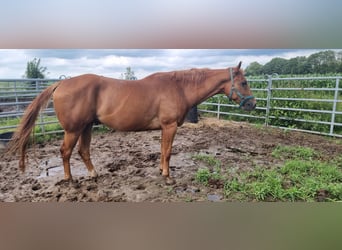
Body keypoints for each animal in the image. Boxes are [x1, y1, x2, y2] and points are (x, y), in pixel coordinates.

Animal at [6, 62, 255, 184]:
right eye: (243, 82)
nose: (252, 104)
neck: (179, 87)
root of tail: (61, 84)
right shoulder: (170, 126)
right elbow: (168, 152)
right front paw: (167, 176)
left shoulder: (165, 128)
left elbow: (162, 150)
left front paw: (161, 170)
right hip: (74, 129)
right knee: (66, 151)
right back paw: (69, 179)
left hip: (86, 127)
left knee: (83, 151)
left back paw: (93, 174)